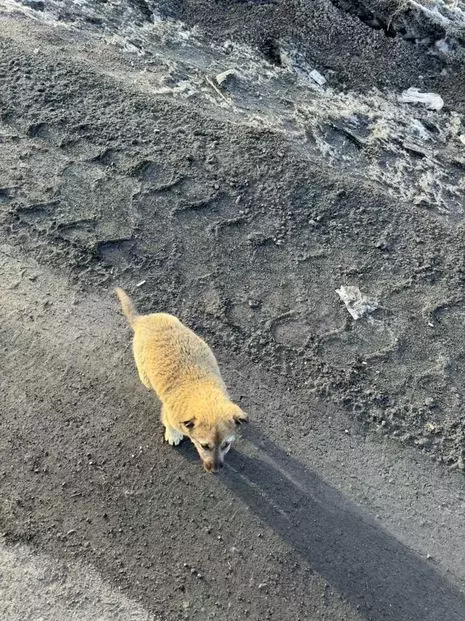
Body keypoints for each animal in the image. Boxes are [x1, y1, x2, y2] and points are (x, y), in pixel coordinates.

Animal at [115, 288, 246, 472]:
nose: (216, 469)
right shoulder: (170, 415)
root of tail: (143, 320)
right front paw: (173, 435)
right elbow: (169, 424)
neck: (203, 390)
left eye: (226, 445)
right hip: (144, 376)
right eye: (204, 446)